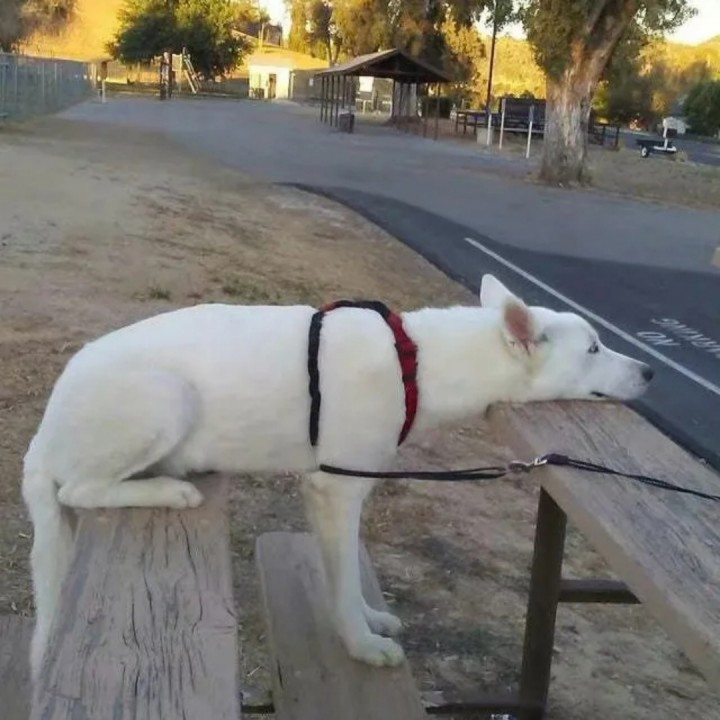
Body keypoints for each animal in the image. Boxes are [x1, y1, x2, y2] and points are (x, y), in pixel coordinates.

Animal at [22, 274, 653, 678]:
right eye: (595, 349)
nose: (649, 371)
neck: (416, 362)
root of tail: (42, 434)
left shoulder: (330, 494)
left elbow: (340, 576)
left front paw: (366, 621)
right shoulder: (337, 489)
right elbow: (346, 580)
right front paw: (362, 644)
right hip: (168, 397)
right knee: (80, 488)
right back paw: (170, 489)